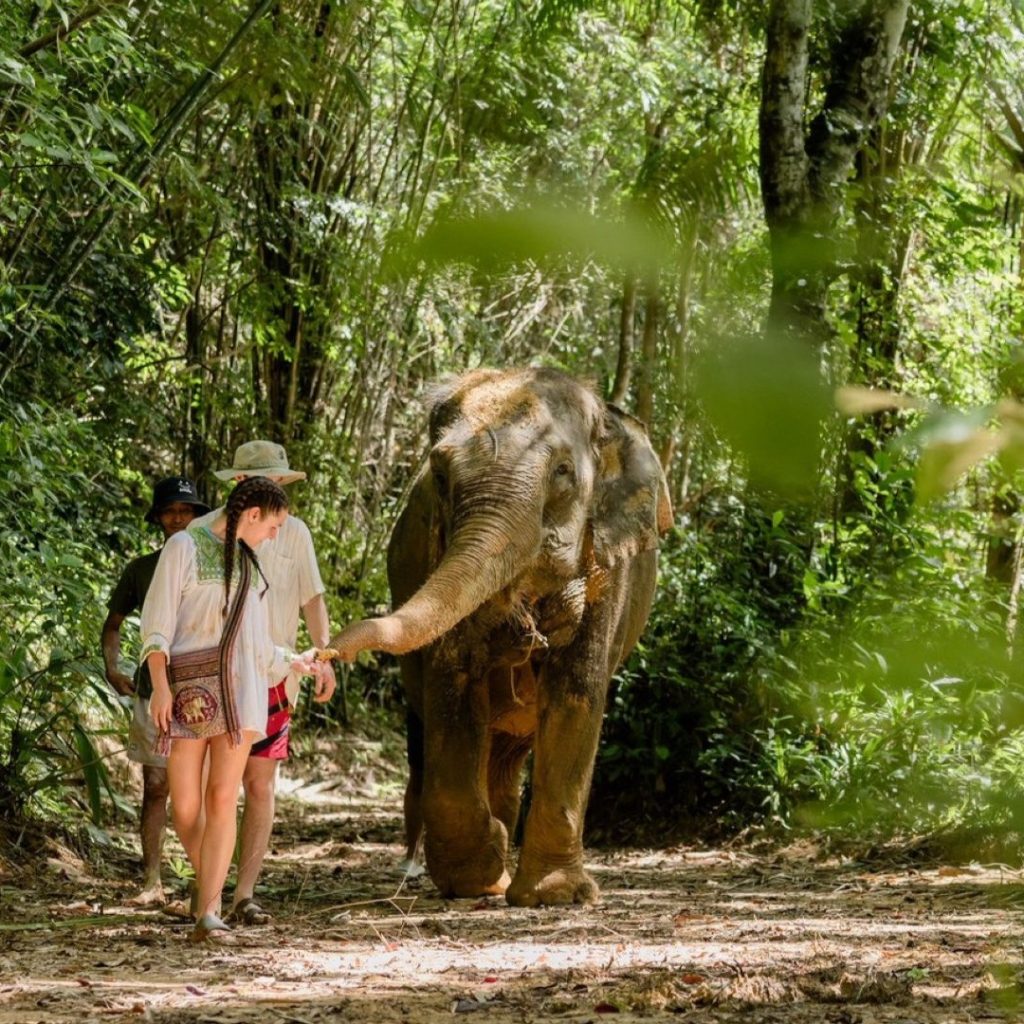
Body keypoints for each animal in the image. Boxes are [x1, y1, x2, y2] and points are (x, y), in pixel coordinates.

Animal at [327, 367, 672, 906]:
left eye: (563, 472)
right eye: (440, 476)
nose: (323, 652)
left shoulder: (609, 570)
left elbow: (576, 695)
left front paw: (555, 894)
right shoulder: (438, 552)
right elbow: (453, 685)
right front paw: (477, 876)